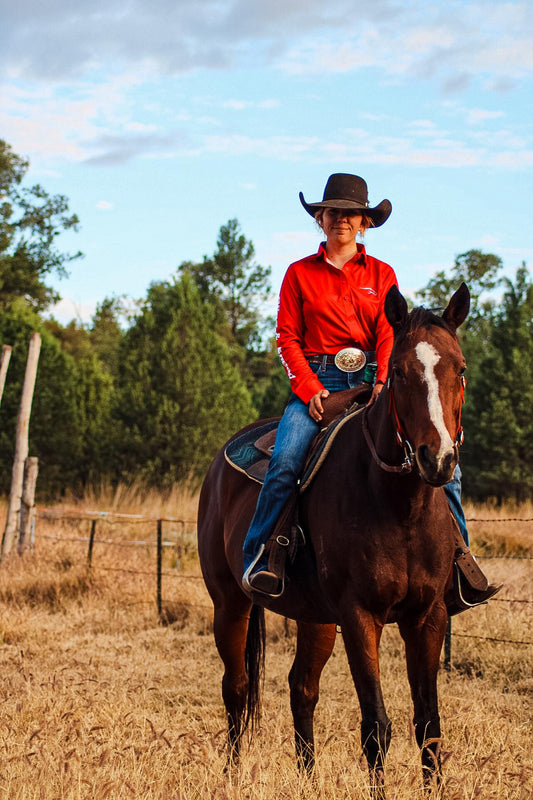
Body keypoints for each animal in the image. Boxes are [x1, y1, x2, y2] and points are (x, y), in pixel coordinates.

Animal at [197, 284, 468, 796]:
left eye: (459, 369)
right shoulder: (360, 616)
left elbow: (429, 725)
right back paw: (232, 775)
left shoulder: (428, 617)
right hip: (230, 603)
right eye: (399, 372)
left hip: (315, 619)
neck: (399, 506)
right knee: (236, 688)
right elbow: (376, 726)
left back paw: (307, 778)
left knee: (302, 688)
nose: (437, 459)